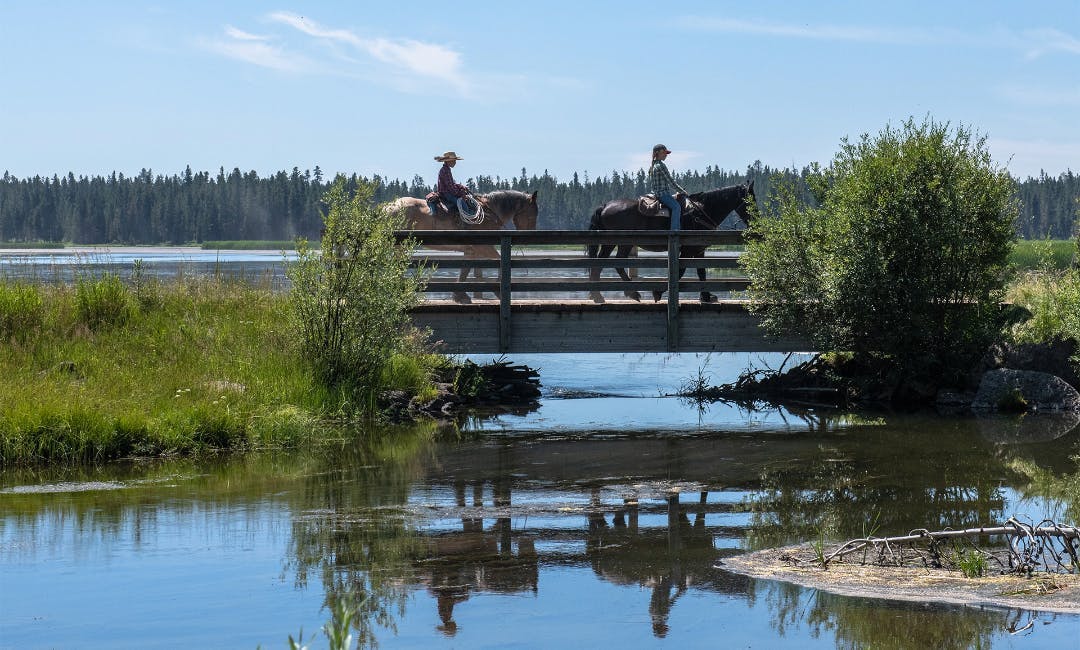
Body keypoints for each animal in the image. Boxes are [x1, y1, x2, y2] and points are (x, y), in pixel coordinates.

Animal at [386, 188, 540, 302]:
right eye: (533, 214)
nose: (529, 236)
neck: (488, 213)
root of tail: (388, 207)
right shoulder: (483, 247)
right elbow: (498, 260)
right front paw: (497, 289)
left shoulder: (471, 250)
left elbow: (465, 270)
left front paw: (460, 295)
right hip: (400, 246)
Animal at [587, 179, 756, 304]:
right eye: (749, 201)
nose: (756, 220)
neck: (701, 212)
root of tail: (605, 206)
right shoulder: (687, 250)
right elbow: (681, 271)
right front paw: (658, 292)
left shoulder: (699, 249)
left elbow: (701, 271)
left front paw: (707, 297)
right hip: (624, 242)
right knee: (618, 263)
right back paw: (632, 293)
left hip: (609, 243)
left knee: (598, 265)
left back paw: (598, 296)